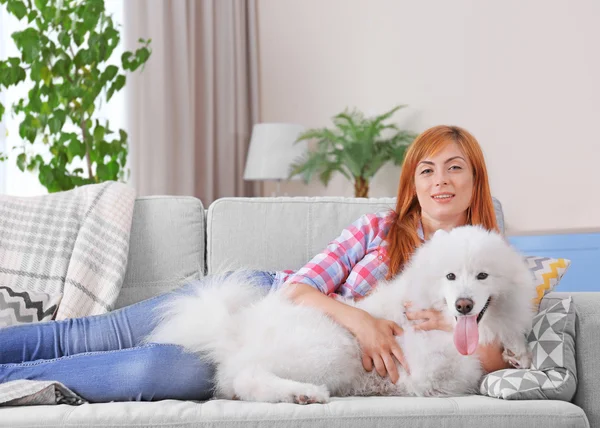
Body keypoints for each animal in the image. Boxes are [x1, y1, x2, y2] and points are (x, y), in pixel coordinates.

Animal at [148, 226, 536, 402]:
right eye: (451, 277)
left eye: (482, 276)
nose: (463, 305)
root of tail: (235, 330)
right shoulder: (427, 367)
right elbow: (456, 368)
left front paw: (517, 351)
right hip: (330, 348)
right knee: (246, 379)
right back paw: (304, 394)